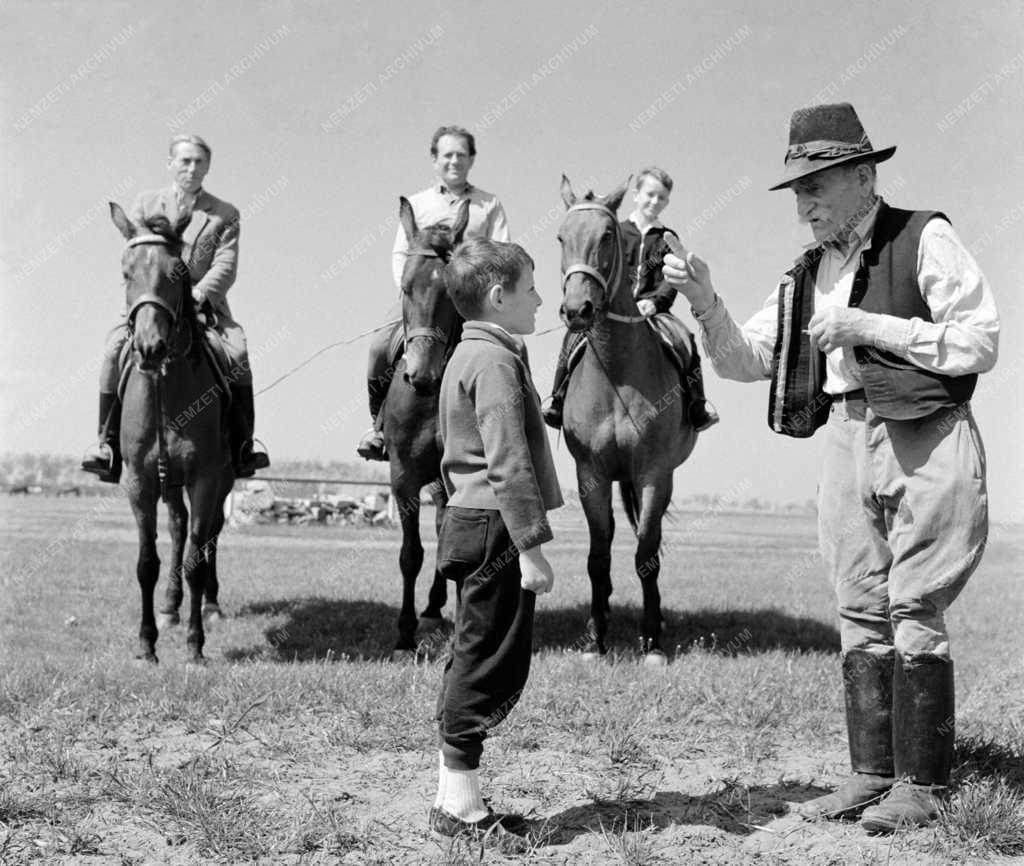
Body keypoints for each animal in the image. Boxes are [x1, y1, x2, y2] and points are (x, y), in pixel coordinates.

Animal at [110, 201, 234, 663]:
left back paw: (209, 607)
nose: (150, 347)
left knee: (208, 535)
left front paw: (196, 646)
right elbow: (148, 561)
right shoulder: (140, 481)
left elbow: (199, 558)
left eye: (177, 271)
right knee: (180, 530)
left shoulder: (206, 478)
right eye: (126, 272)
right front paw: (147, 643)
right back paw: (169, 606)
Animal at [557, 175, 700, 663]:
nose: (577, 310)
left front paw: (652, 641)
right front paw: (595, 639)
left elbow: (646, 555)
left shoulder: (654, 474)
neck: (617, 373)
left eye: (606, 237)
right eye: (561, 237)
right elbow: (598, 555)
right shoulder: (591, 473)